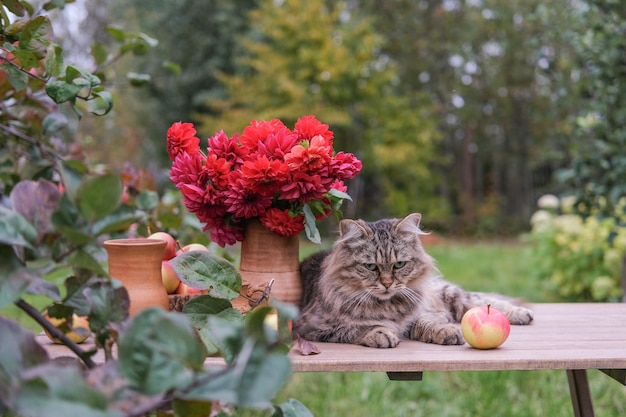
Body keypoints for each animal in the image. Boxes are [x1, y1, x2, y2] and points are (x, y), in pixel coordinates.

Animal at [292, 213, 532, 346]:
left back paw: (521, 314)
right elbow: (355, 328)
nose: (387, 283)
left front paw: (446, 332)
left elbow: (425, 324)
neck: (386, 306)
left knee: (483, 302)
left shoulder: (421, 315)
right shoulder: (309, 327)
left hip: (451, 295)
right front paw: (380, 333)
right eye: (371, 267)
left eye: (399, 264)